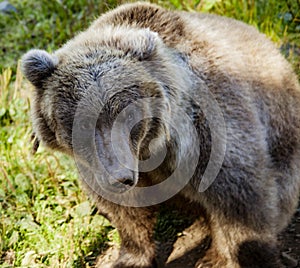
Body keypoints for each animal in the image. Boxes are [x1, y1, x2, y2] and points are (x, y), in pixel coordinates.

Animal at [21, 2, 300, 268]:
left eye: (127, 115)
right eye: (82, 124)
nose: (120, 177)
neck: (150, 148)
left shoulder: (207, 131)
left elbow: (240, 199)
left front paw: (251, 255)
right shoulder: (98, 165)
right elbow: (126, 211)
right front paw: (131, 258)